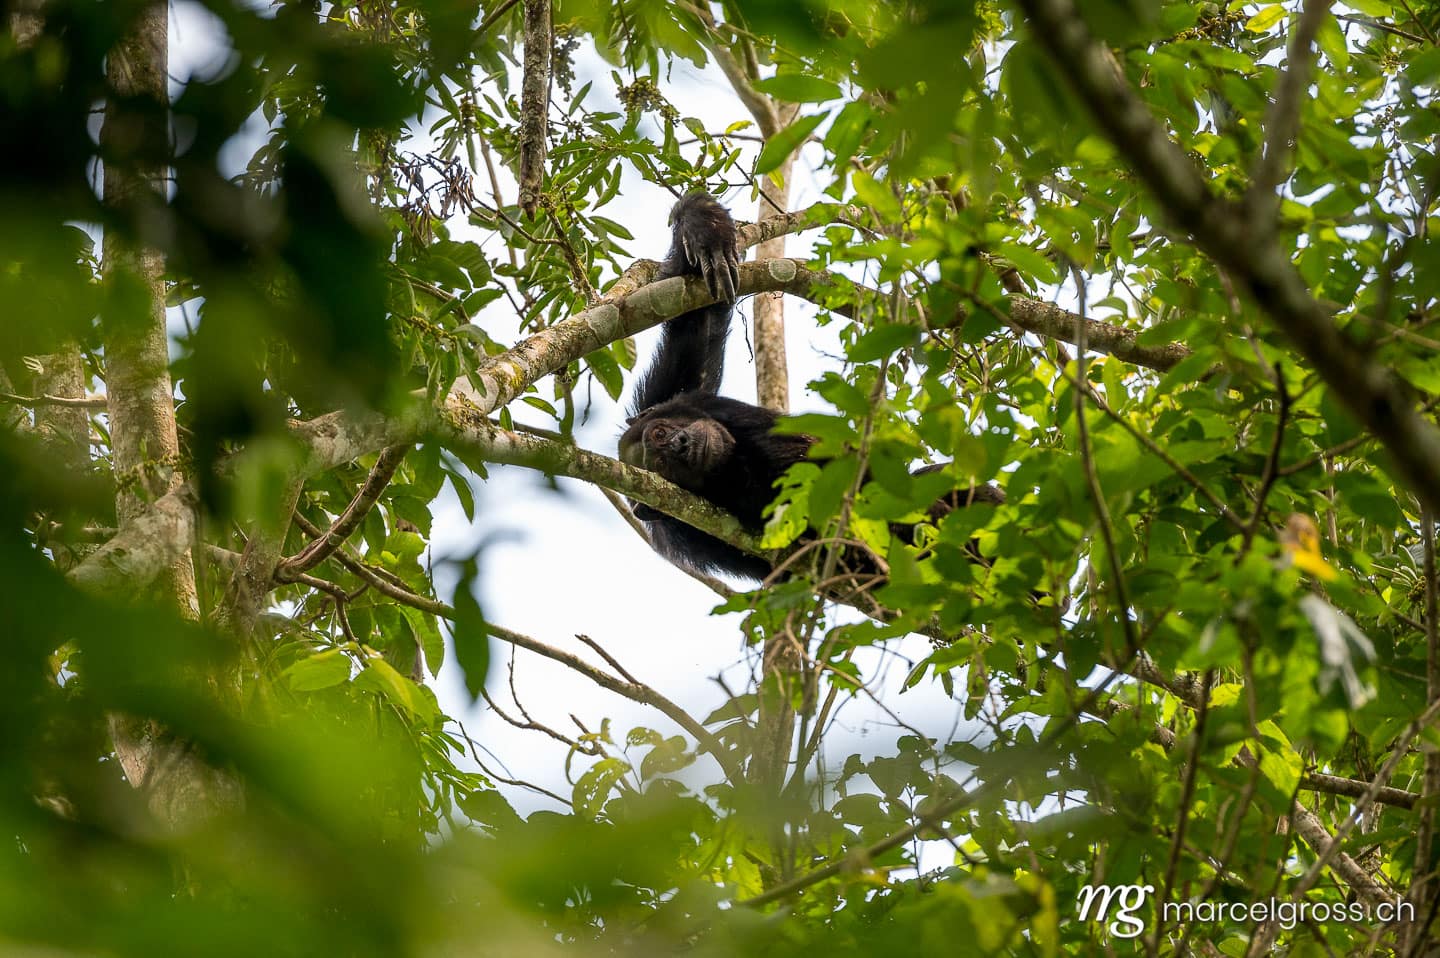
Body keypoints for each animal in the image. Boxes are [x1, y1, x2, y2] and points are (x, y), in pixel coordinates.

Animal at [619, 193, 1005, 581]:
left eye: (660, 433)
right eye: (661, 467)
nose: (680, 444)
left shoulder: (678, 396)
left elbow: (697, 329)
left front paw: (704, 233)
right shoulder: (685, 535)